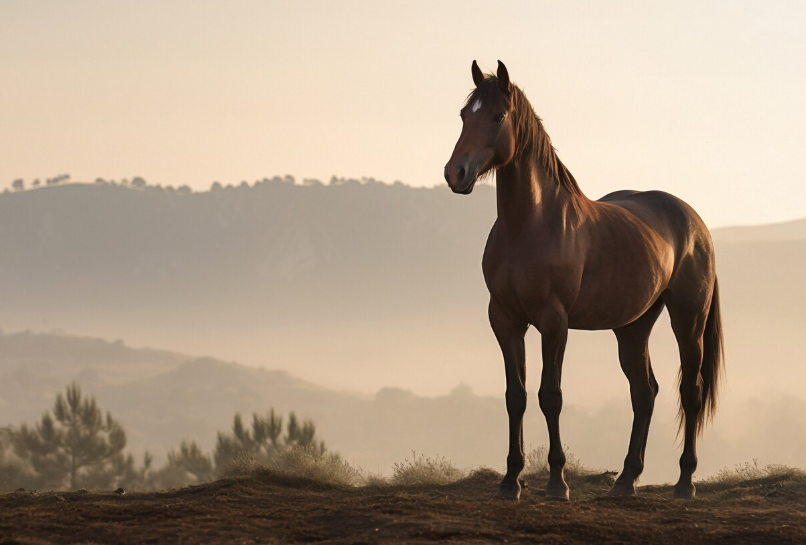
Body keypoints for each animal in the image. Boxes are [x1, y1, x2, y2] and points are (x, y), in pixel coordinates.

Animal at [444, 60, 723, 501]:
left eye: (497, 116)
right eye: (462, 116)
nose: (455, 173)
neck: (529, 226)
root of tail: (694, 221)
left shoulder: (553, 322)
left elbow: (550, 396)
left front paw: (557, 482)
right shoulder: (505, 320)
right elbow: (515, 396)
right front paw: (510, 481)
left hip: (687, 319)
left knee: (690, 394)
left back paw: (684, 482)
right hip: (633, 327)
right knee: (644, 393)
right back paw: (625, 481)